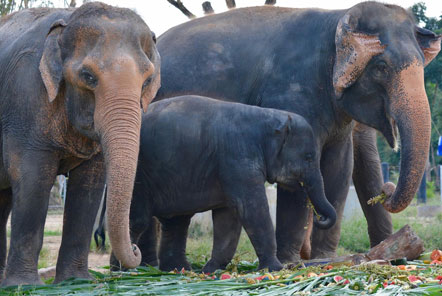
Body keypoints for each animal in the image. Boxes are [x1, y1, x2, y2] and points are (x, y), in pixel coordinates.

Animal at [0, 1, 161, 286]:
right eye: (88, 76)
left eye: (147, 81)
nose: (135, 249)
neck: (68, 22)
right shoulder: (25, 99)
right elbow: (33, 179)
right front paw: (23, 285)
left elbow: (89, 186)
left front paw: (76, 281)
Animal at [109, 96, 334, 272]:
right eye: (308, 157)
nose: (320, 217)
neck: (268, 116)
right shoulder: (238, 157)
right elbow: (251, 208)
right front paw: (276, 269)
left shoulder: (231, 165)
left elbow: (229, 216)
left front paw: (211, 270)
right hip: (140, 174)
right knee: (137, 219)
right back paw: (121, 271)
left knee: (177, 222)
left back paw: (179, 270)